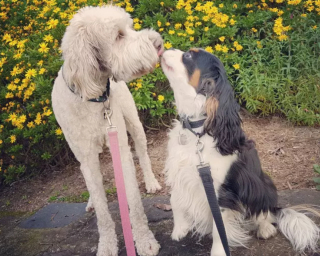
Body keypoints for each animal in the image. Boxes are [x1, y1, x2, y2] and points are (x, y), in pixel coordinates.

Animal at [52, 4, 164, 256]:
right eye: (118, 36)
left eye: (129, 28)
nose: (158, 42)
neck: (93, 97)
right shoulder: (86, 157)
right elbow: (102, 212)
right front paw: (107, 245)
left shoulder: (121, 149)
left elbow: (134, 201)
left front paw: (144, 240)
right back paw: (92, 202)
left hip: (134, 123)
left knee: (143, 154)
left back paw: (151, 181)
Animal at [161, 48, 318, 256]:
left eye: (188, 56)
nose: (166, 48)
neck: (198, 129)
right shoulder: (179, 172)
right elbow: (174, 200)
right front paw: (179, 229)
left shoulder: (221, 192)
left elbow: (219, 230)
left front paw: (218, 252)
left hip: (261, 186)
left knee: (264, 213)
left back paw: (265, 228)